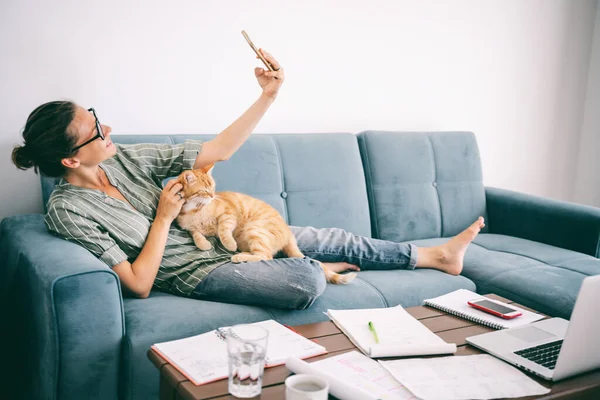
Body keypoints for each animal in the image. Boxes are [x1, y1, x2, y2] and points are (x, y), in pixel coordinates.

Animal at [175, 165, 356, 284]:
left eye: (213, 187)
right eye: (204, 191)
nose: (212, 196)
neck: (195, 210)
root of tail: (288, 234)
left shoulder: (228, 214)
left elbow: (224, 230)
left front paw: (229, 244)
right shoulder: (189, 227)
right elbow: (196, 234)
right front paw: (204, 244)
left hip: (254, 229)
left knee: (265, 255)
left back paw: (239, 255)